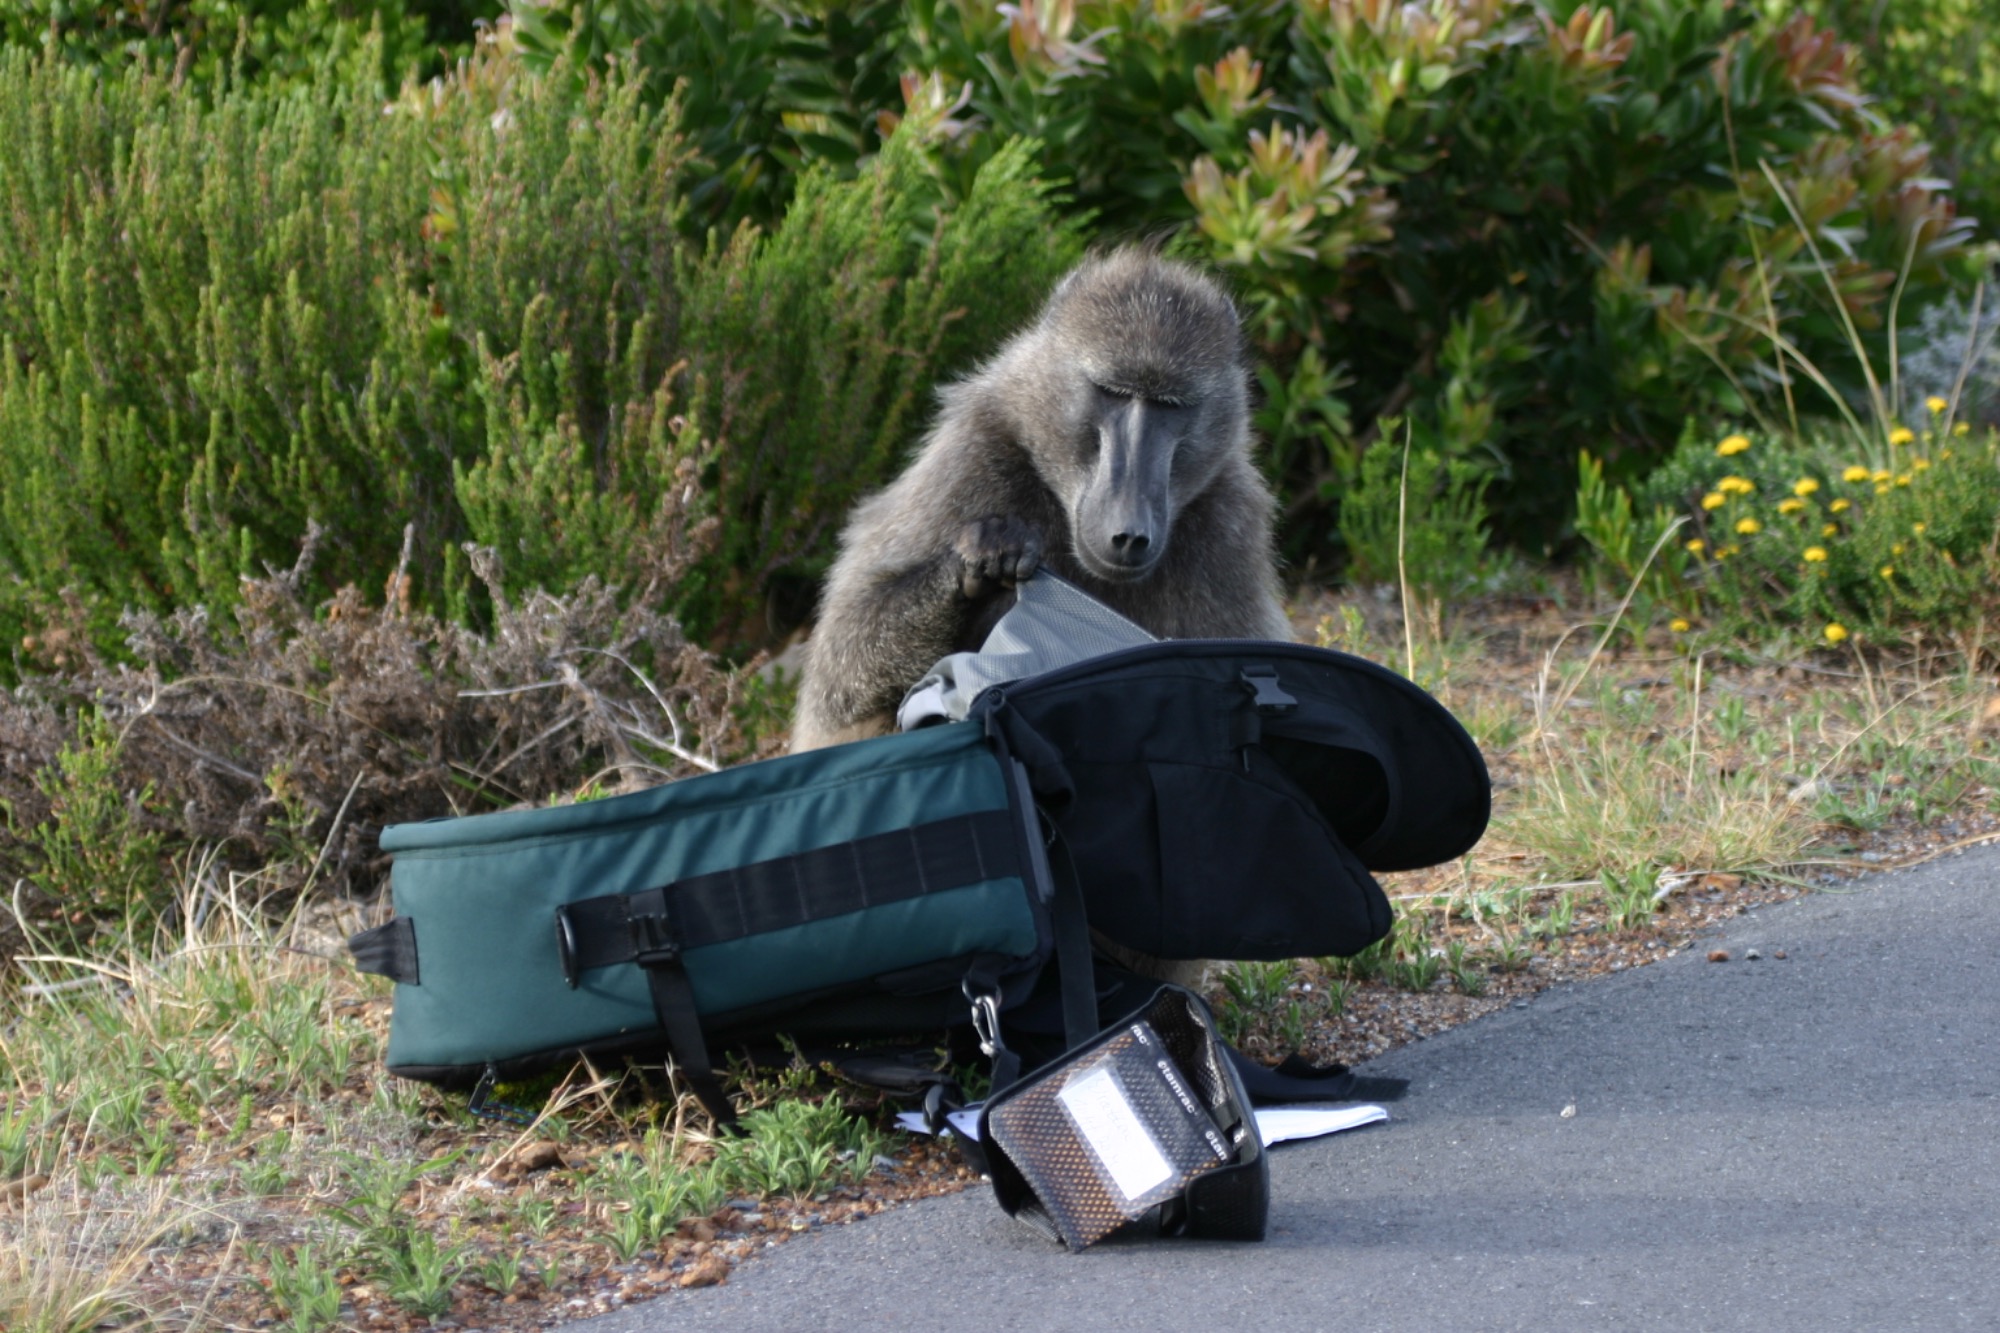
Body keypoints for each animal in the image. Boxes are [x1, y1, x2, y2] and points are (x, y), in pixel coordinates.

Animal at [789, 247, 1291, 753]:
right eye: (1112, 393)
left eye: (1169, 406)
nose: (1128, 535)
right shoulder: (970, 457)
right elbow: (841, 664)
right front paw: (985, 555)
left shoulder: (1232, 524)